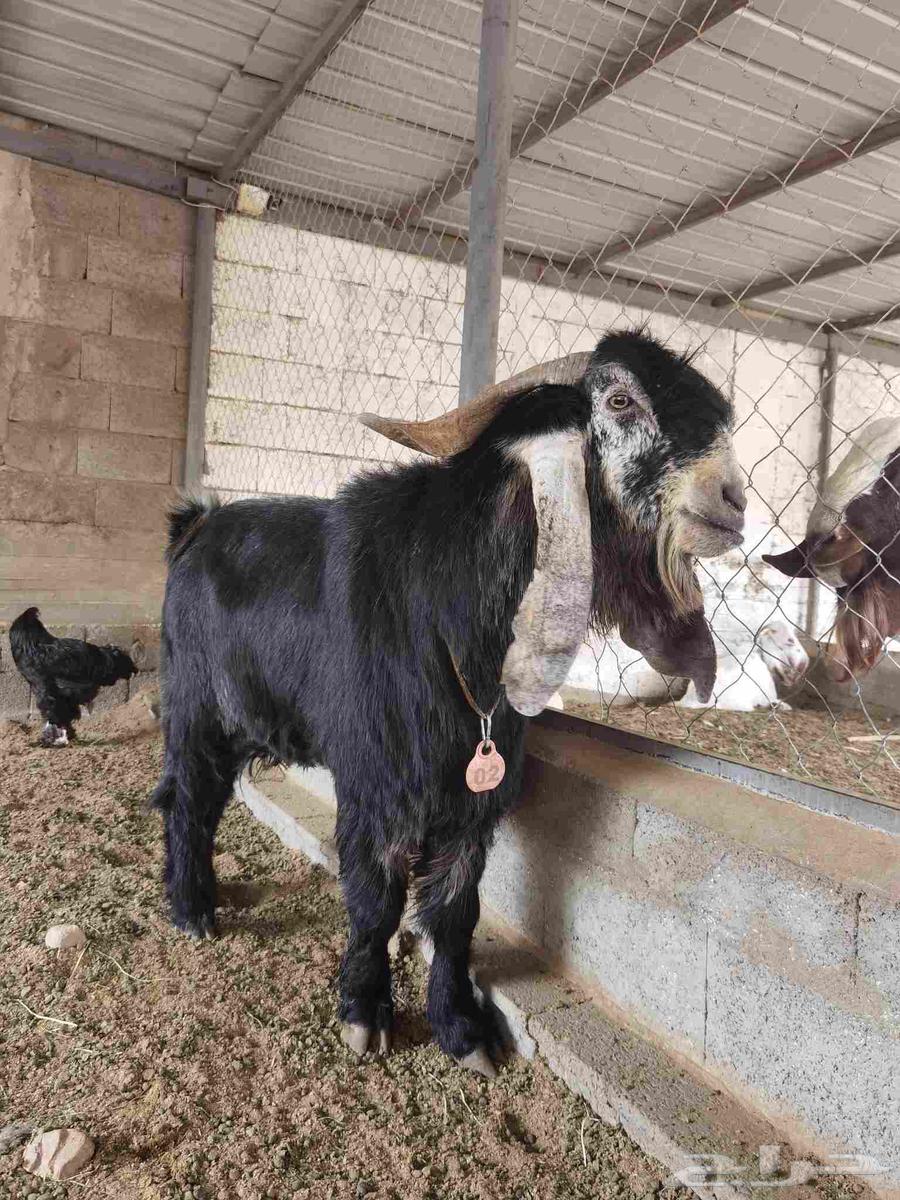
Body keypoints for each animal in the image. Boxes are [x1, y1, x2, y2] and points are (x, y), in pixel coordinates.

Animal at [153, 330, 746, 1076]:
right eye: (619, 399)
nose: (732, 498)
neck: (451, 601)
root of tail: (194, 527)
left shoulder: (472, 798)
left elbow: (455, 910)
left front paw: (461, 1029)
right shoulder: (376, 782)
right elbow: (376, 900)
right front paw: (365, 1011)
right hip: (194, 710)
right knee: (188, 800)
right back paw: (192, 910)